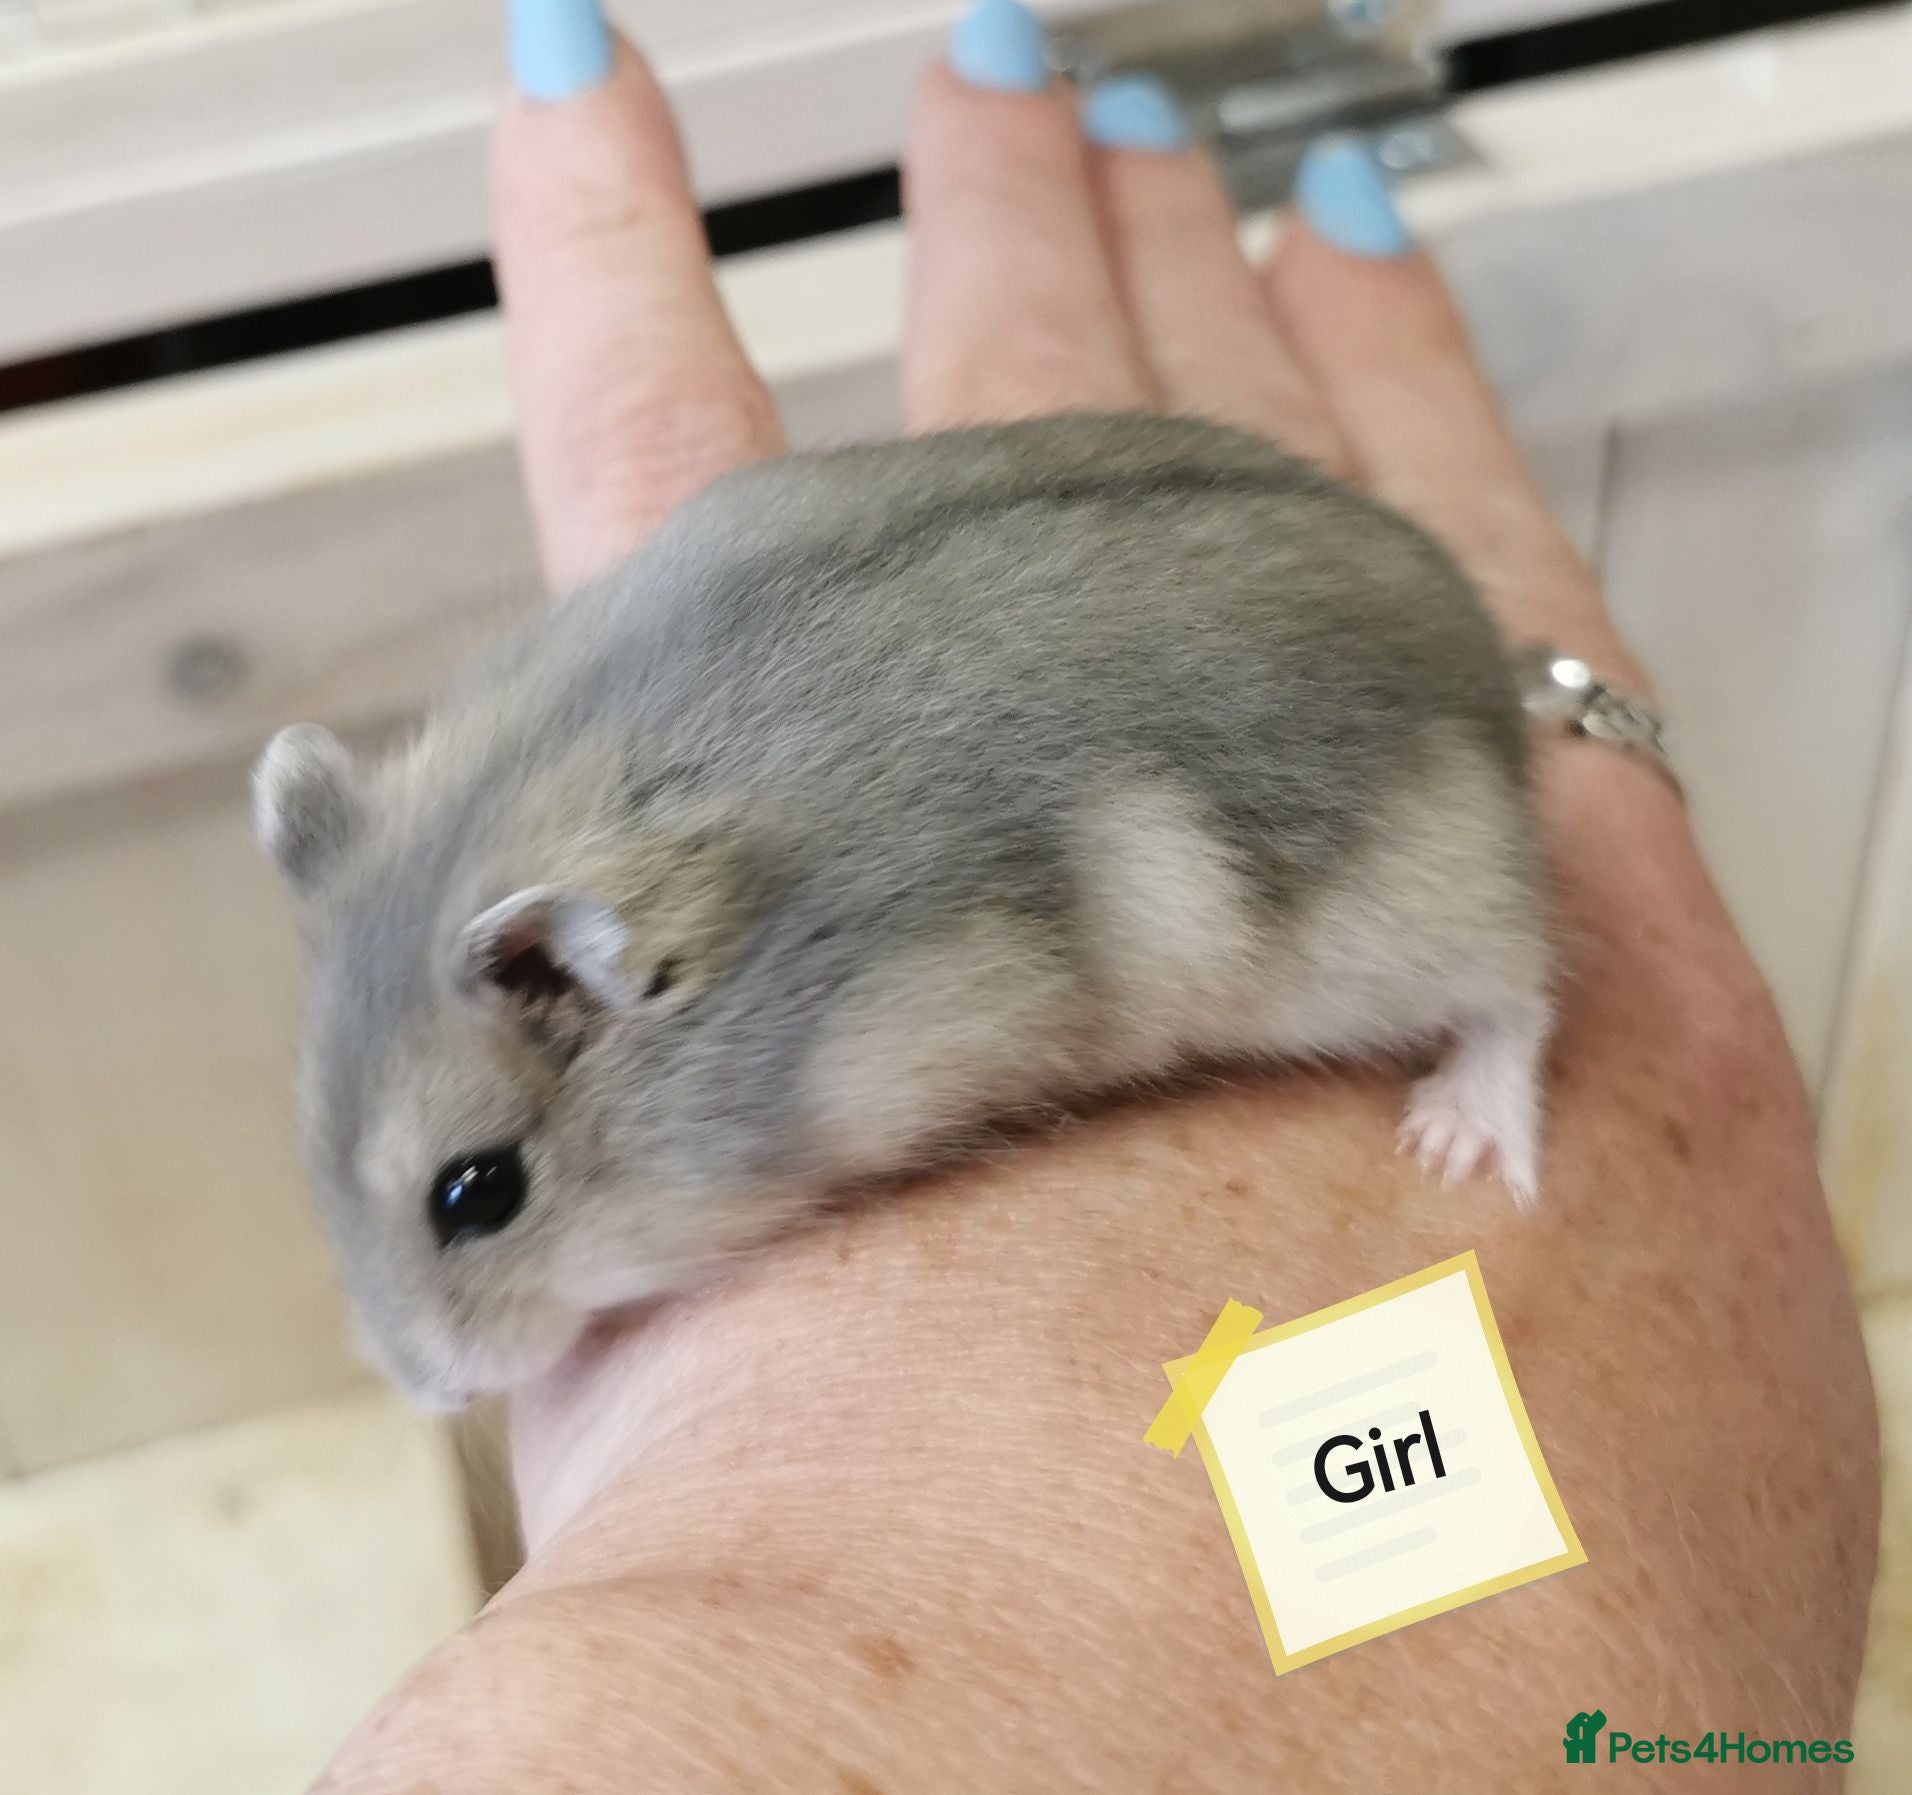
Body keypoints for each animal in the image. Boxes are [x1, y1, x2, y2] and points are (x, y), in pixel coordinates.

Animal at [255, 414, 1549, 1411]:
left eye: (478, 1193)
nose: (434, 1392)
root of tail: (1491, 670)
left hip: (1409, 908)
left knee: (1521, 982)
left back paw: (1459, 1137)